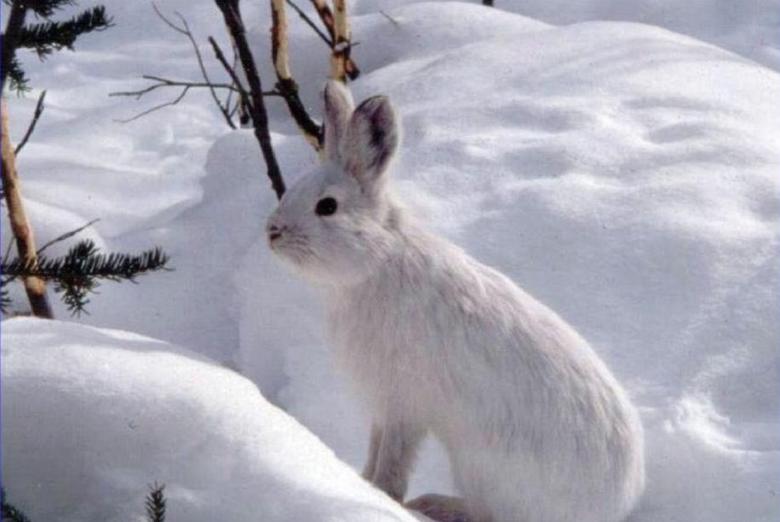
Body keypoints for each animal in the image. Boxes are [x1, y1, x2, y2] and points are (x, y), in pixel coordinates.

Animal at [266, 80, 645, 522]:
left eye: (327, 206)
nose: (272, 232)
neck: (377, 261)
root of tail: (613, 506)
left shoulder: (403, 405)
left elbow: (393, 464)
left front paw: (382, 496)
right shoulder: (383, 408)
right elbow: (375, 451)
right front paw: (359, 482)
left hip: (483, 468)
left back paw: (432, 505)